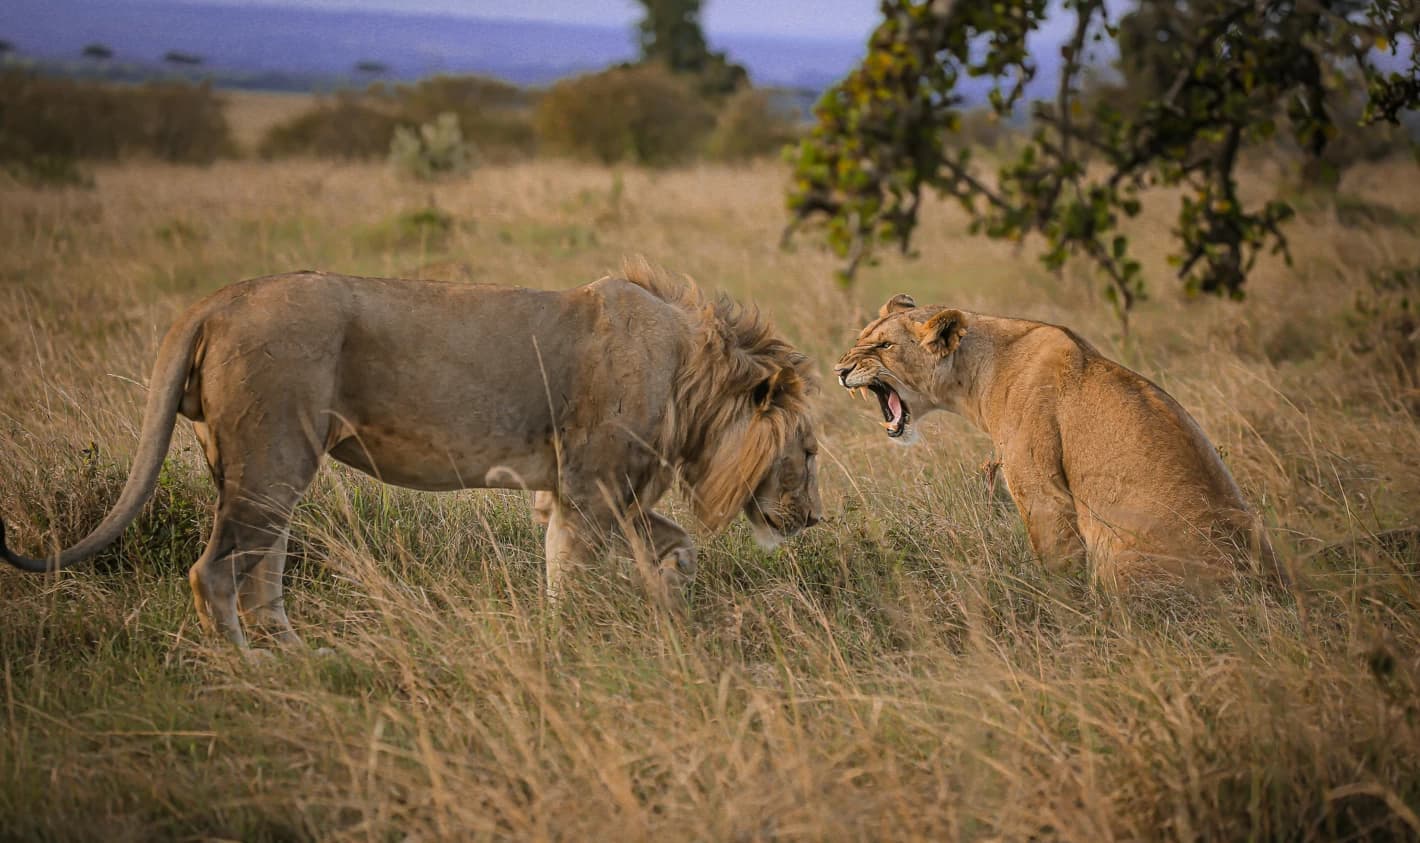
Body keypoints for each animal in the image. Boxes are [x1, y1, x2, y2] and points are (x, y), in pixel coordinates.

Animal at [1, 259, 823, 651]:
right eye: (811, 453)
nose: (813, 520)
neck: (692, 374)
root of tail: (215, 301)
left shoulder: (570, 493)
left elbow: (655, 550)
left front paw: (662, 613)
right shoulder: (593, 486)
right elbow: (588, 571)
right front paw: (574, 641)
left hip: (261, 469)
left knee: (261, 571)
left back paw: (304, 657)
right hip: (273, 456)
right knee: (215, 573)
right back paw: (254, 668)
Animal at [834, 294, 1279, 586]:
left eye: (884, 345)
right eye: (860, 340)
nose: (840, 370)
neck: (976, 373)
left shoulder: (1042, 492)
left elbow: (1057, 565)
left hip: (1118, 554)